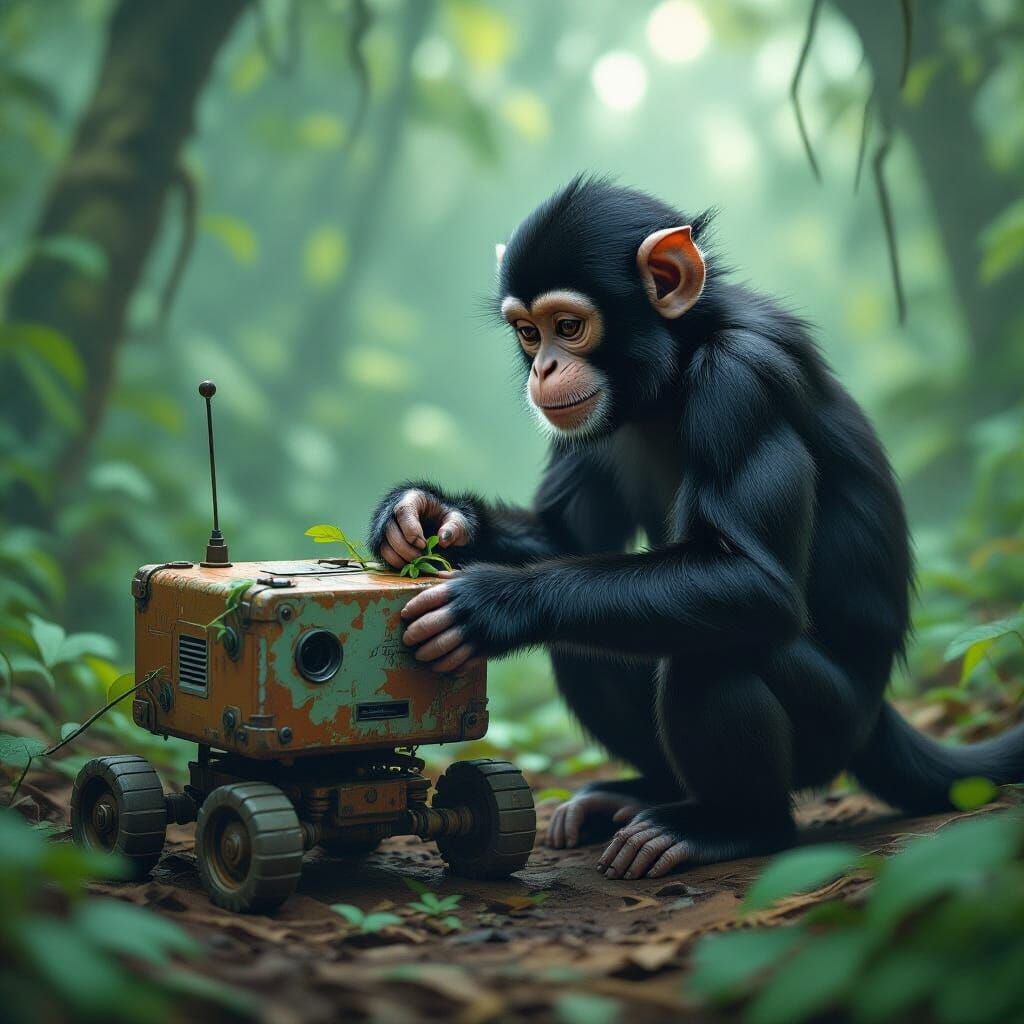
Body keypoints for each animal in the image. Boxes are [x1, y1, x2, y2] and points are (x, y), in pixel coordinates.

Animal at [368, 176, 1024, 879]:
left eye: (567, 327)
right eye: (526, 332)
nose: (543, 368)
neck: (674, 368)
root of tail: (879, 718)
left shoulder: (740, 383)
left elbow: (752, 579)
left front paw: (493, 602)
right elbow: (565, 539)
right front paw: (425, 514)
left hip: (834, 725)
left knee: (713, 653)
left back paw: (731, 825)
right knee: (581, 639)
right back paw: (641, 796)